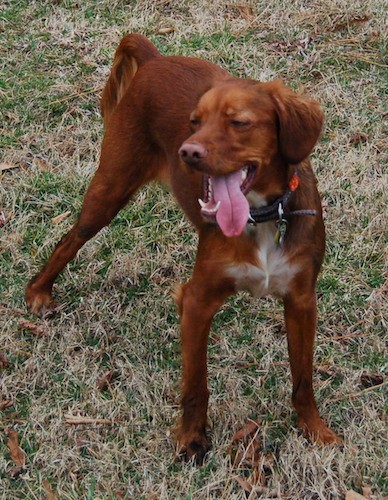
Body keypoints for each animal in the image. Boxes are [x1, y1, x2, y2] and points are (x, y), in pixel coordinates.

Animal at [27, 34, 342, 464]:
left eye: (238, 122)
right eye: (195, 122)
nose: (188, 152)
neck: (261, 216)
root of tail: (154, 58)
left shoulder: (301, 301)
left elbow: (303, 379)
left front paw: (315, 430)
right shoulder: (197, 301)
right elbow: (196, 384)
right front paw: (192, 439)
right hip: (110, 188)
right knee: (69, 239)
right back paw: (39, 291)